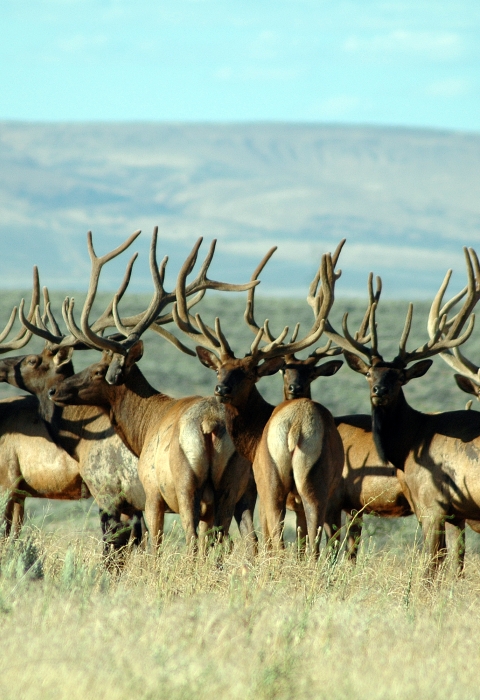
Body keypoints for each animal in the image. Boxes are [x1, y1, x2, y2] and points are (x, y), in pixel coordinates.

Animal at [48, 229, 258, 553]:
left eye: (98, 370)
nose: (55, 390)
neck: (144, 426)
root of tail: (210, 424)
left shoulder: (151, 495)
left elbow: (152, 546)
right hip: (232, 487)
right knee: (232, 540)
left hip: (185, 484)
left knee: (192, 539)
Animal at [171, 247, 345, 557]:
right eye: (219, 369)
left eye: (248, 373)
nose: (221, 388)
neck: (252, 439)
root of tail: (296, 427)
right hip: (304, 483)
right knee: (304, 538)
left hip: (275, 482)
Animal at [323, 248, 480, 575]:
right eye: (369, 374)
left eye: (399, 377)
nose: (378, 391)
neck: (409, 445)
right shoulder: (454, 511)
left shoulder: (432, 504)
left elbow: (433, 565)